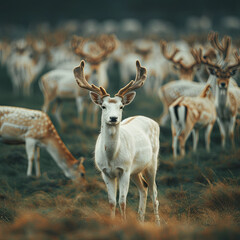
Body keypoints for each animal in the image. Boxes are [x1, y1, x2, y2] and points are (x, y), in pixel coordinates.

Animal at [72, 59, 160, 224]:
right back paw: (140, 220)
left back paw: (157, 223)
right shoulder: (105, 172)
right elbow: (112, 202)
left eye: (121, 106)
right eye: (103, 106)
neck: (112, 157)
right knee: (144, 188)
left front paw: (124, 223)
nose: (113, 118)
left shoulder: (124, 169)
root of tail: (153, 121)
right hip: (135, 170)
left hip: (151, 163)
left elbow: (122, 202)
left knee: (154, 193)